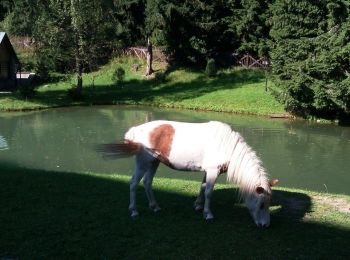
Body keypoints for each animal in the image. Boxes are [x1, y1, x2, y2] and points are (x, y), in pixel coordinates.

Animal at [100, 120, 278, 228]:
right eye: (262, 204)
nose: (265, 225)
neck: (227, 146)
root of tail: (136, 130)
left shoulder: (208, 171)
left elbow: (203, 187)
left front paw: (198, 206)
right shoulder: (213, 171)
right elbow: (209, 192)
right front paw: (208, 214)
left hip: (154, 162)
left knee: (147, 182)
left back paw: (155, 206)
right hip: (143, 162)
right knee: (133, 183)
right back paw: (134, 210)